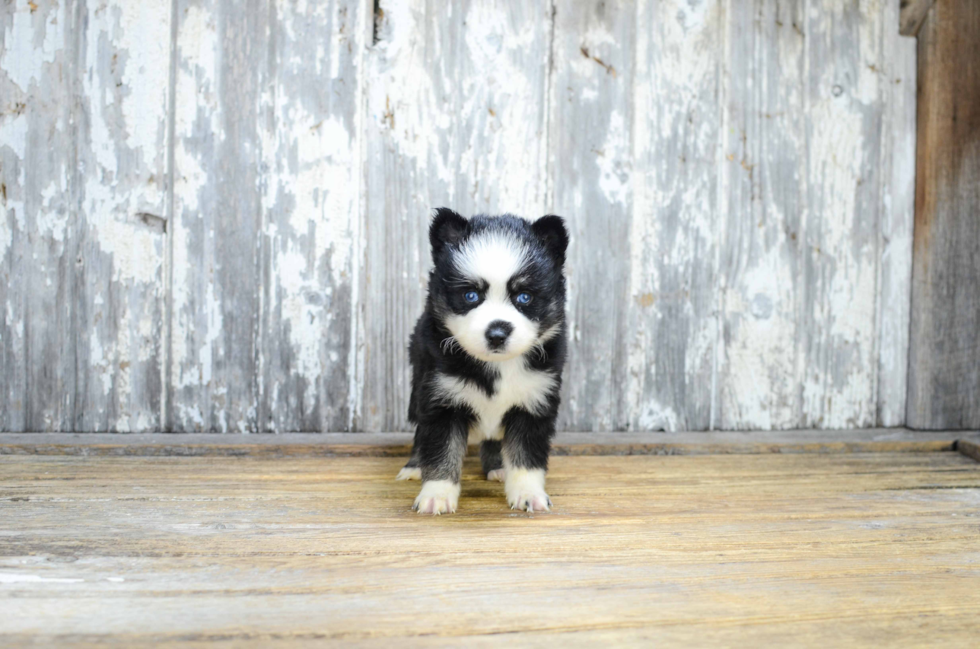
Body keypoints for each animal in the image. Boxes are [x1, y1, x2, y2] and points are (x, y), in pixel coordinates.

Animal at [396, 210, 572, 512]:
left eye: (524, 296)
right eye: (471, 295)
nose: (498, 333)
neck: (498, 366)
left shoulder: (535, 399)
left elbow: (526, 454)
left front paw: (527, 492)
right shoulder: (442, 398)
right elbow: (442, 448)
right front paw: (436, 494)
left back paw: (497, 467)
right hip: (419, 381)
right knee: (421, 432)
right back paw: (415, 466)